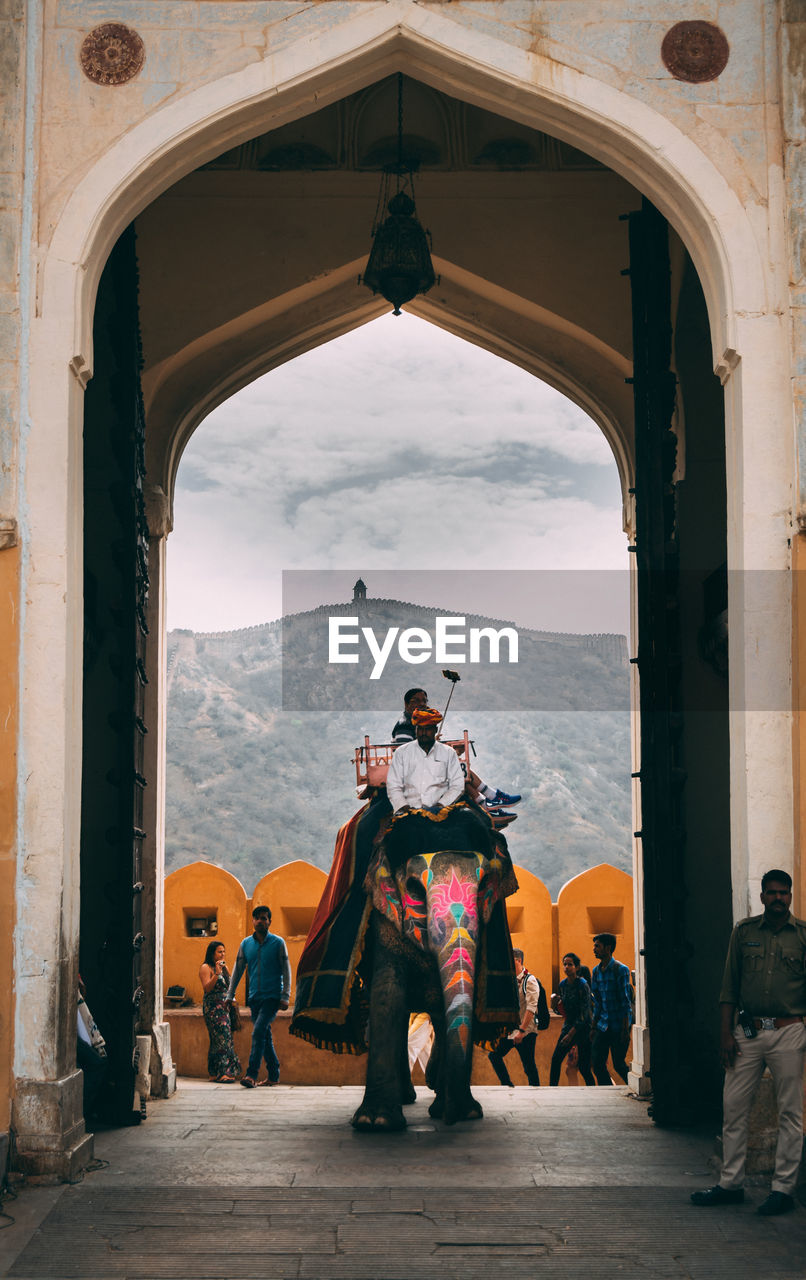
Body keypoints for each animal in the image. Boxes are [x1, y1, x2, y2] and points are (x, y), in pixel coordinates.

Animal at [290, 793, 516, 1136]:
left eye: (484, 885)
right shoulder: (382, 916)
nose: (449, 1120)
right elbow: (388, 994)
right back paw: (408, 1098)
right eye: (413, 888)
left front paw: (465, 1112)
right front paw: (376, 1123)